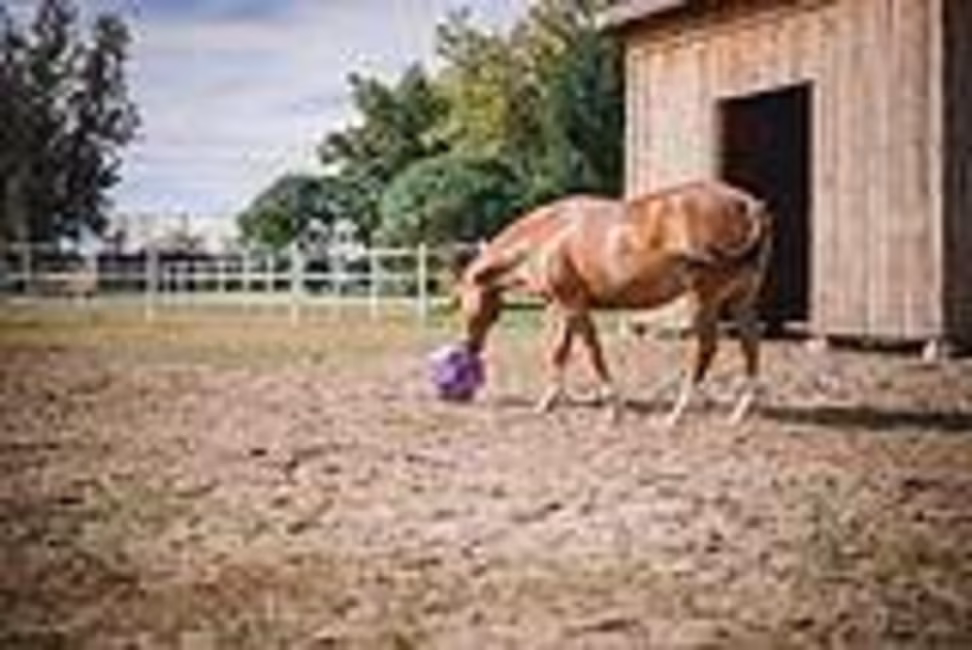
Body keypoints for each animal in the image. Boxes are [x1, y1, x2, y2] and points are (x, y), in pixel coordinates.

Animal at [455, 179, 772, 426]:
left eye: (464, 305)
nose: (470, 347)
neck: (549, 233)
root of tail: (747, 203)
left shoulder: (573, 305)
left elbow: (592, 351)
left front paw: (613, 405)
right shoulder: (564, 306)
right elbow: (559, 351)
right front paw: (548, 402)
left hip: (703, 299)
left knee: (707, 348)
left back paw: (677, 413)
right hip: (742, 300)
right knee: (751, 344)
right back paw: (739, 412)